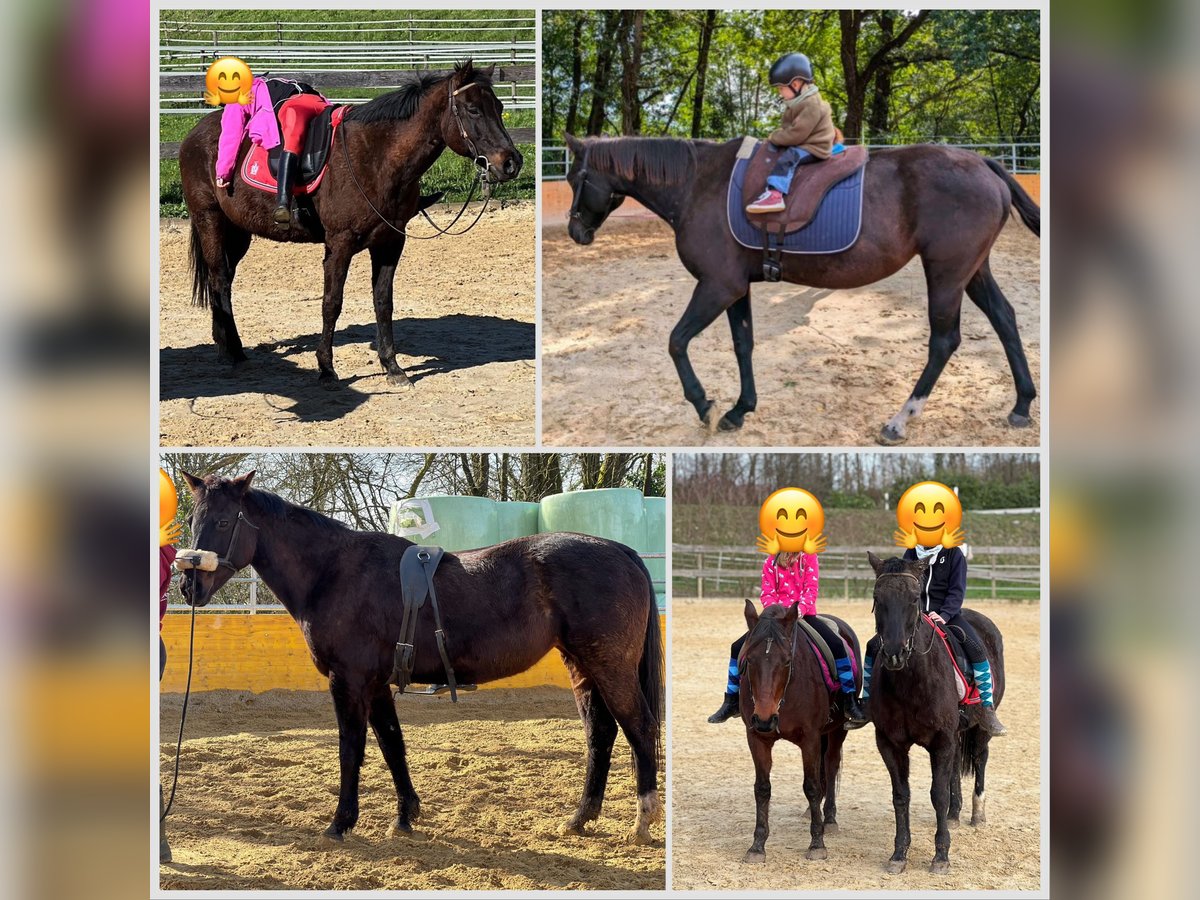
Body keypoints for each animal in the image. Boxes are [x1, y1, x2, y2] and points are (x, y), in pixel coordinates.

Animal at [177, 472, 667, 844]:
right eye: (192, 518)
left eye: (224, 520)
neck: (334, 572)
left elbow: (351, 750)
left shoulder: (348, 680)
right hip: (582, 666)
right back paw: (580, 818)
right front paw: (405, 816)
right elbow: (393, 745)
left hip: (610, 666)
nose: (188, 586)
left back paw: (642, 822)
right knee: (600, 734)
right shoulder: (375, 683)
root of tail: (620, 550)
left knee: (640, 728)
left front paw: (340, 823)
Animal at [178, 61, 520, 386]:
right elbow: (332, 303)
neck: (377, 157)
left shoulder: (390, 243)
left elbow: (383, 302)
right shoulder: (339, 245)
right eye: (473, 109)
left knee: (221, 280)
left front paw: (392, 366)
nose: (511, 162)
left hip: (238, 231)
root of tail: (194, 134)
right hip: (210, 219)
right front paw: (326, 368)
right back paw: (233, 352)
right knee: (219, 280)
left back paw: (225, 344)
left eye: (499, 106)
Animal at [561, 133, 1041, 444]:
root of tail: (984, 163)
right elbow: (743, 344)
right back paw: (1021, 405)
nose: (575, 233)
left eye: (573, 178)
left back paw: (899, 420)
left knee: (944, 340)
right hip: (971, 270)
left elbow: (677, 341)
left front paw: (704, 405)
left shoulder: (717, 286)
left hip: (946, 272)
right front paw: (740, 409)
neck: (699, 185)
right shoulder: (736, 287)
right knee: (1005, 319)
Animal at [734, 602, 859, 864]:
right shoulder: (756, 738)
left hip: (837, 730)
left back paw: (829, 819)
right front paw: (757, 846)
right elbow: (762, 788)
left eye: (786, 661)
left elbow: (811, 786)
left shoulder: (810, 738)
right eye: (749, 659)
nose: (765, 719)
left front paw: (817, 844)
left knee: (830, 766)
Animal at [868, 554, 1008, 878]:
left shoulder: (941, 740)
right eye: (878, 598)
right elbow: (901, 795)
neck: (911, 680)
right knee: (956, 765)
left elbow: (938, 794)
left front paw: (941, 855)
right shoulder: (890, 743)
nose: (894, 653)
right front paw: (899, 853)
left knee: (980, 759)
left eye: (913, 599)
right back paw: (955, 814)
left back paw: (977, 813)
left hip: (980, 728)